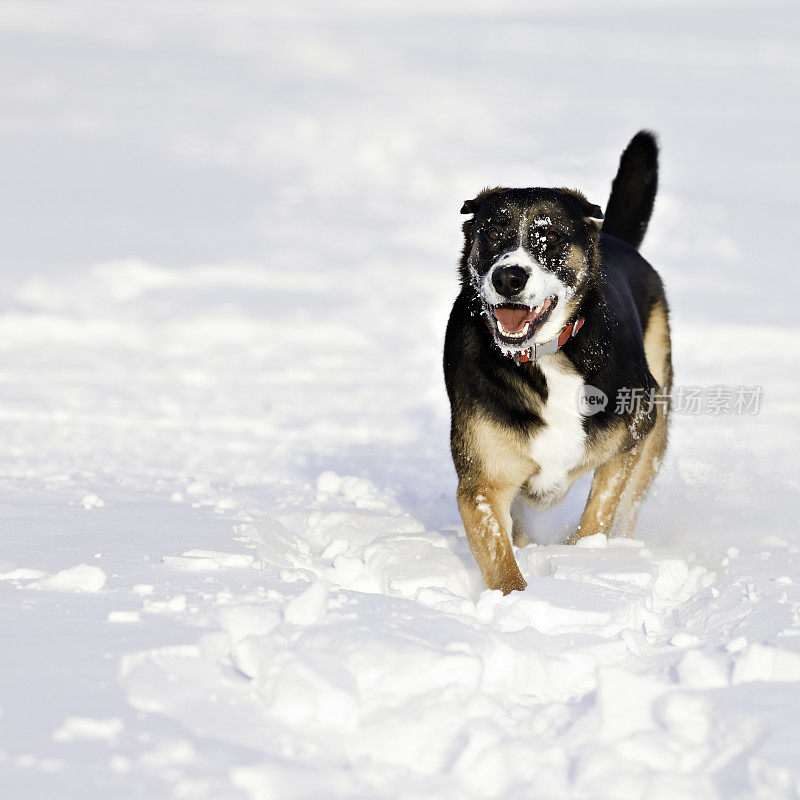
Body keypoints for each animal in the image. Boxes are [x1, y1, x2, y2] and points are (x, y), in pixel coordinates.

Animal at [446, 131, 672, 592]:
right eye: (493, 233)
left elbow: (600, 512)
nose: (508, 277)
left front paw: (587, 562)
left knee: (632, 499)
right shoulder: (482, 481)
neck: (547, 356)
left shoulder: (632, 431)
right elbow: (501, 558)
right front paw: (516, 600)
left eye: (549, 238)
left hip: (657, 417)